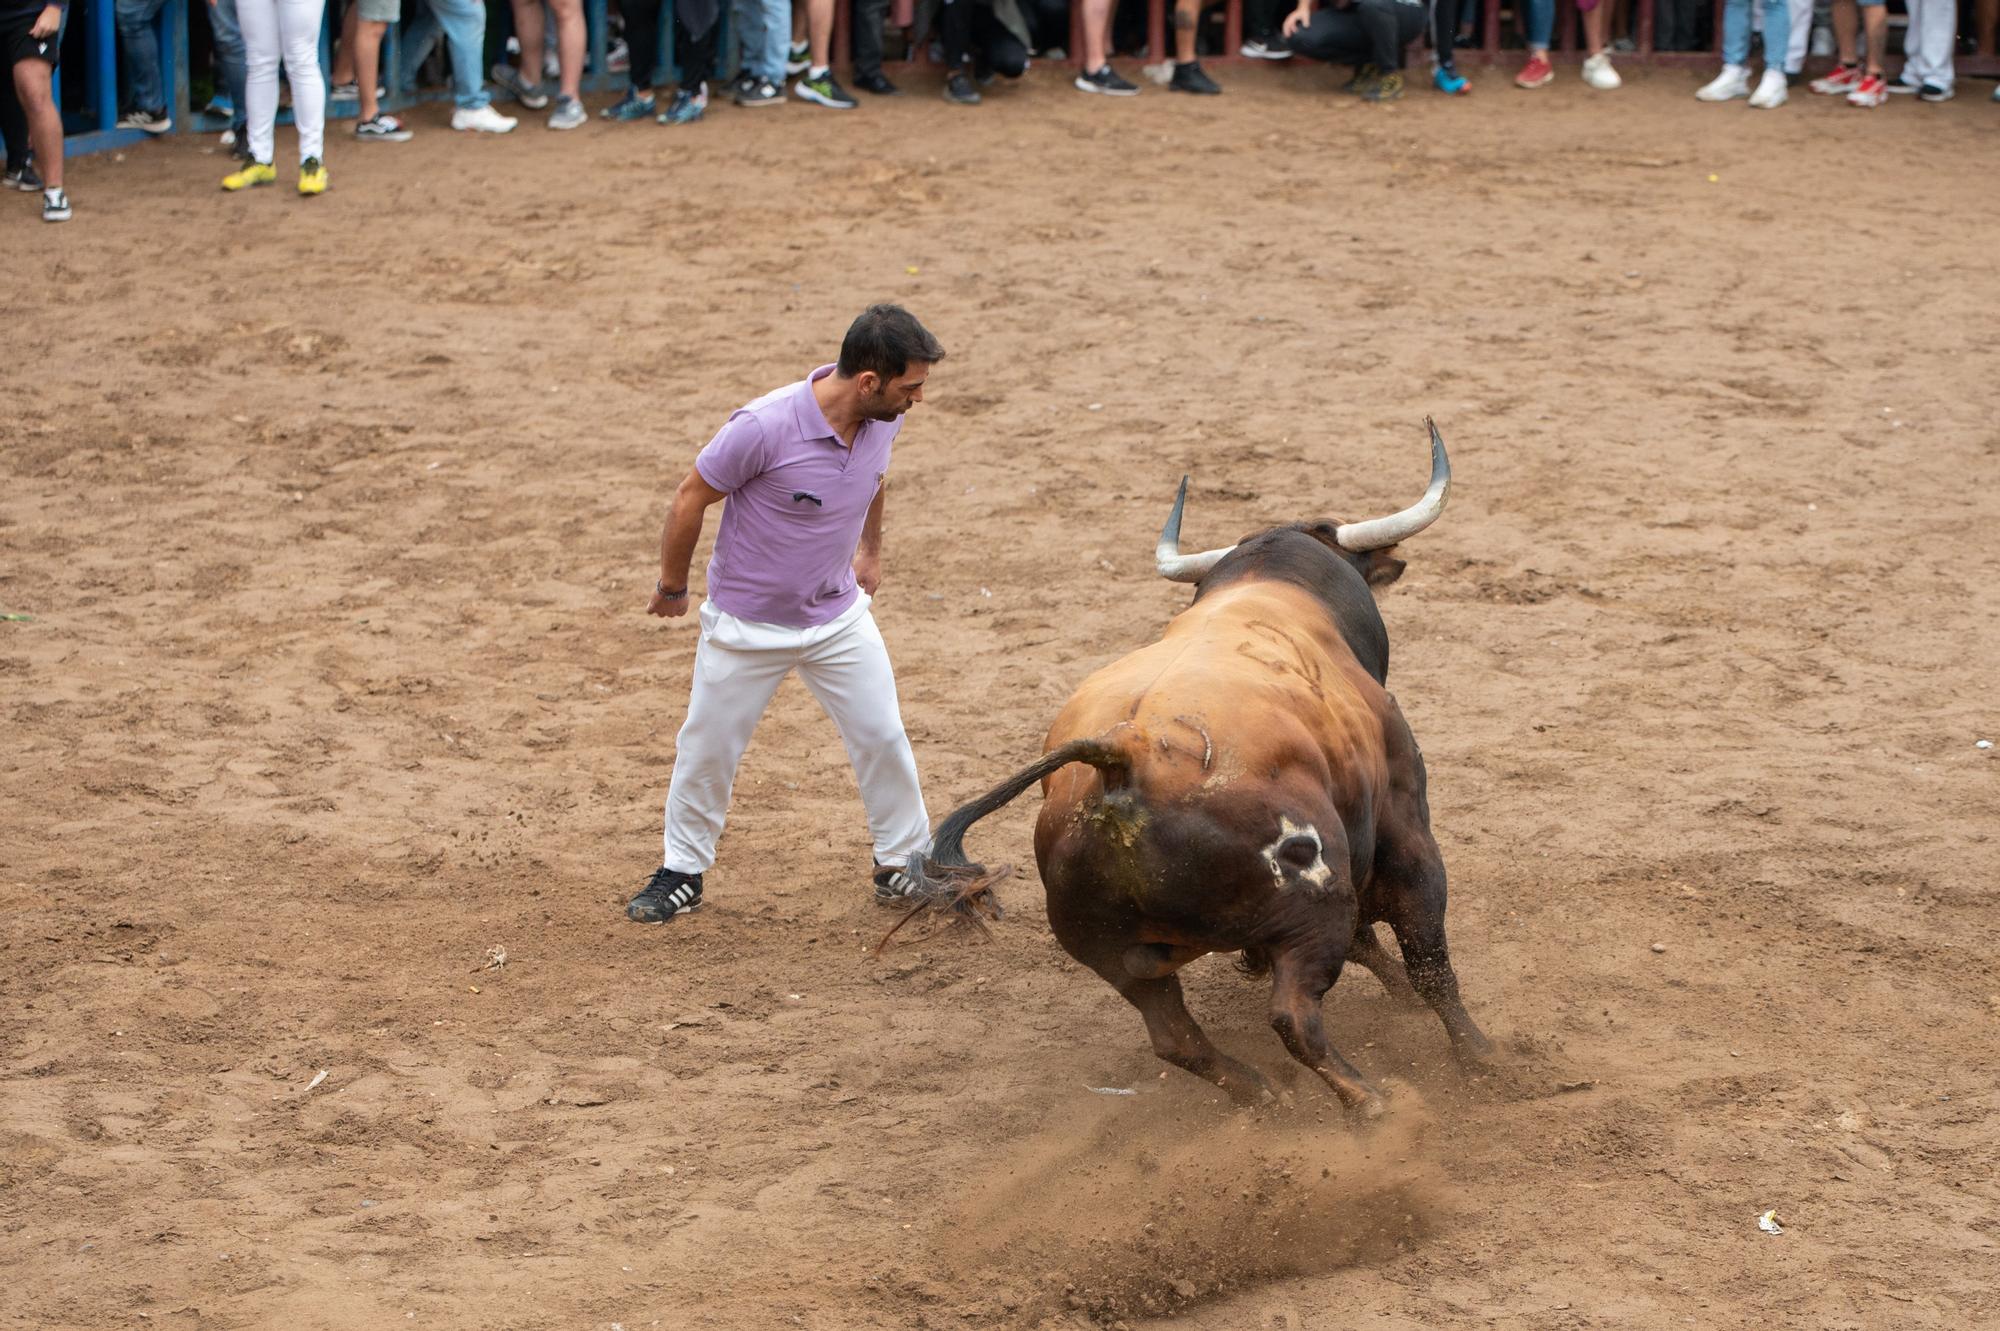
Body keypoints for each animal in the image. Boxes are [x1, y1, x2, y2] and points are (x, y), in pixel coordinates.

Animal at [916, 421, 1496, 1111]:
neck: (1273, 590)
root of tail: (1122, 752)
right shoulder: (1402, 828)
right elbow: (1429, 960)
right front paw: (1487, 1059)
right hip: (1314, 905)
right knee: (1295, 1016)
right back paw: (1374, 1105)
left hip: (1119, 958)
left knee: (1176, 1037)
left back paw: (1263, 1096)